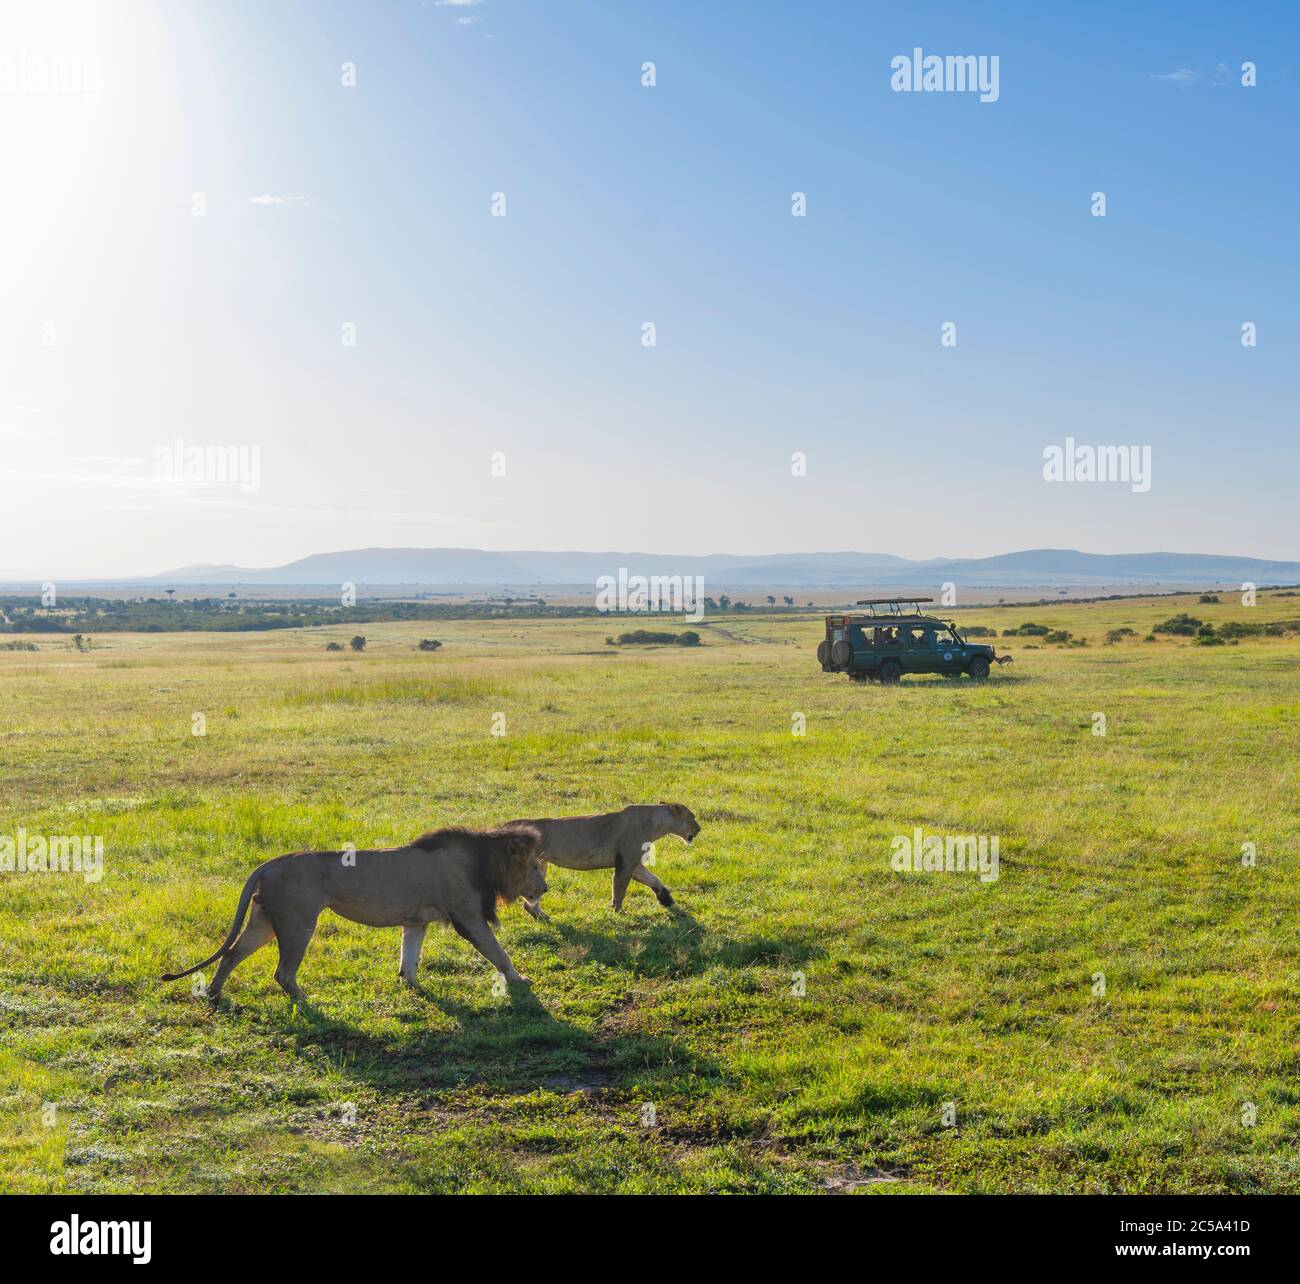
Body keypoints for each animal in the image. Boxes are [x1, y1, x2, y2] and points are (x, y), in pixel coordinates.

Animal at [163, 821, 548, 1003]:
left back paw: (214, 996)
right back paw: (306, 1001)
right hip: (298, 922)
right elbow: (497, 951)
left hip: (264, 922)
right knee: (282, 972)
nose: (544, 889)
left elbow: (410, 956)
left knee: (231, 954)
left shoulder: (416, 922)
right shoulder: (467, 916)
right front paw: (519, 981)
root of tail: (269, 864)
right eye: (534, 867)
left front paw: (411, 985)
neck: (485, 861)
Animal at [501, 800, 702, 925]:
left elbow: (654, 880)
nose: (699, 829)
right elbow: (619, 889)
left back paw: (546, 919)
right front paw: (619, 912)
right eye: (692, 817)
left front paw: (667, 900)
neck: (655, 823)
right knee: (527, 901)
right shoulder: (626, 862)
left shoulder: (634, 863)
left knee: (529, 904)